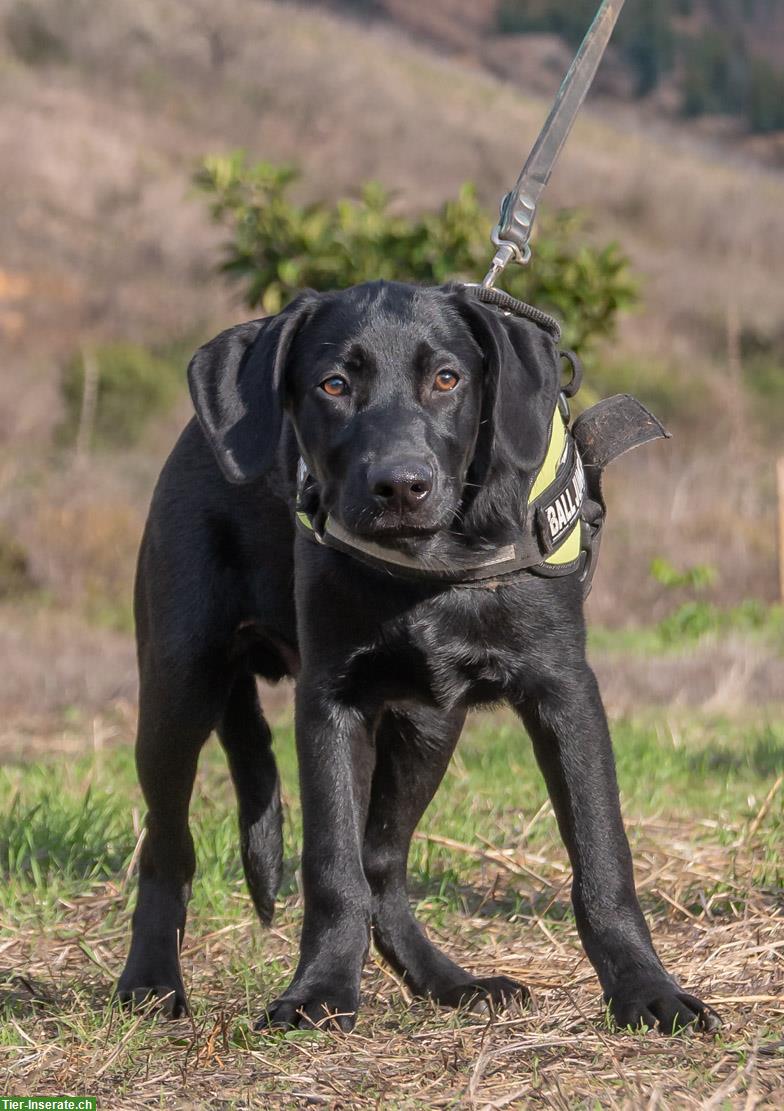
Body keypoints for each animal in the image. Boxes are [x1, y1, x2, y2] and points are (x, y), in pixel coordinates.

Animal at [114, 282, 715, 1035]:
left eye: (448, 379)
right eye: (334, 385)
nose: (401, 485)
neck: (432, 562)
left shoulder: (564, 690)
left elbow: (603, 855)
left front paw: (646, 989)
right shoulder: (330, 702)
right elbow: (331, 865)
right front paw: (319, 990)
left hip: (428, 726)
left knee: (383, 862)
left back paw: (449, 981)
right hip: (180, 686)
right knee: (168, 846)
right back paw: (150, 982)